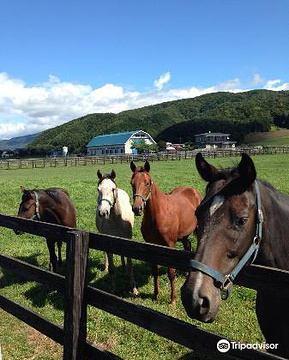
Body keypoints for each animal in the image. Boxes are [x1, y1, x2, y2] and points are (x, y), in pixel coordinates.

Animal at [129, 162, 201, 306]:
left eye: (147, 183)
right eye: (132, 183)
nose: (137, 208)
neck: (158, 213)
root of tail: (194, 191)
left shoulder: (170, 244)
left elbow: (171, 272)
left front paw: (173, 299)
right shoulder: (151, 245)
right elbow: (155, 270)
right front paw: (155, 294)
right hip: (184, 235)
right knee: (188, 246)